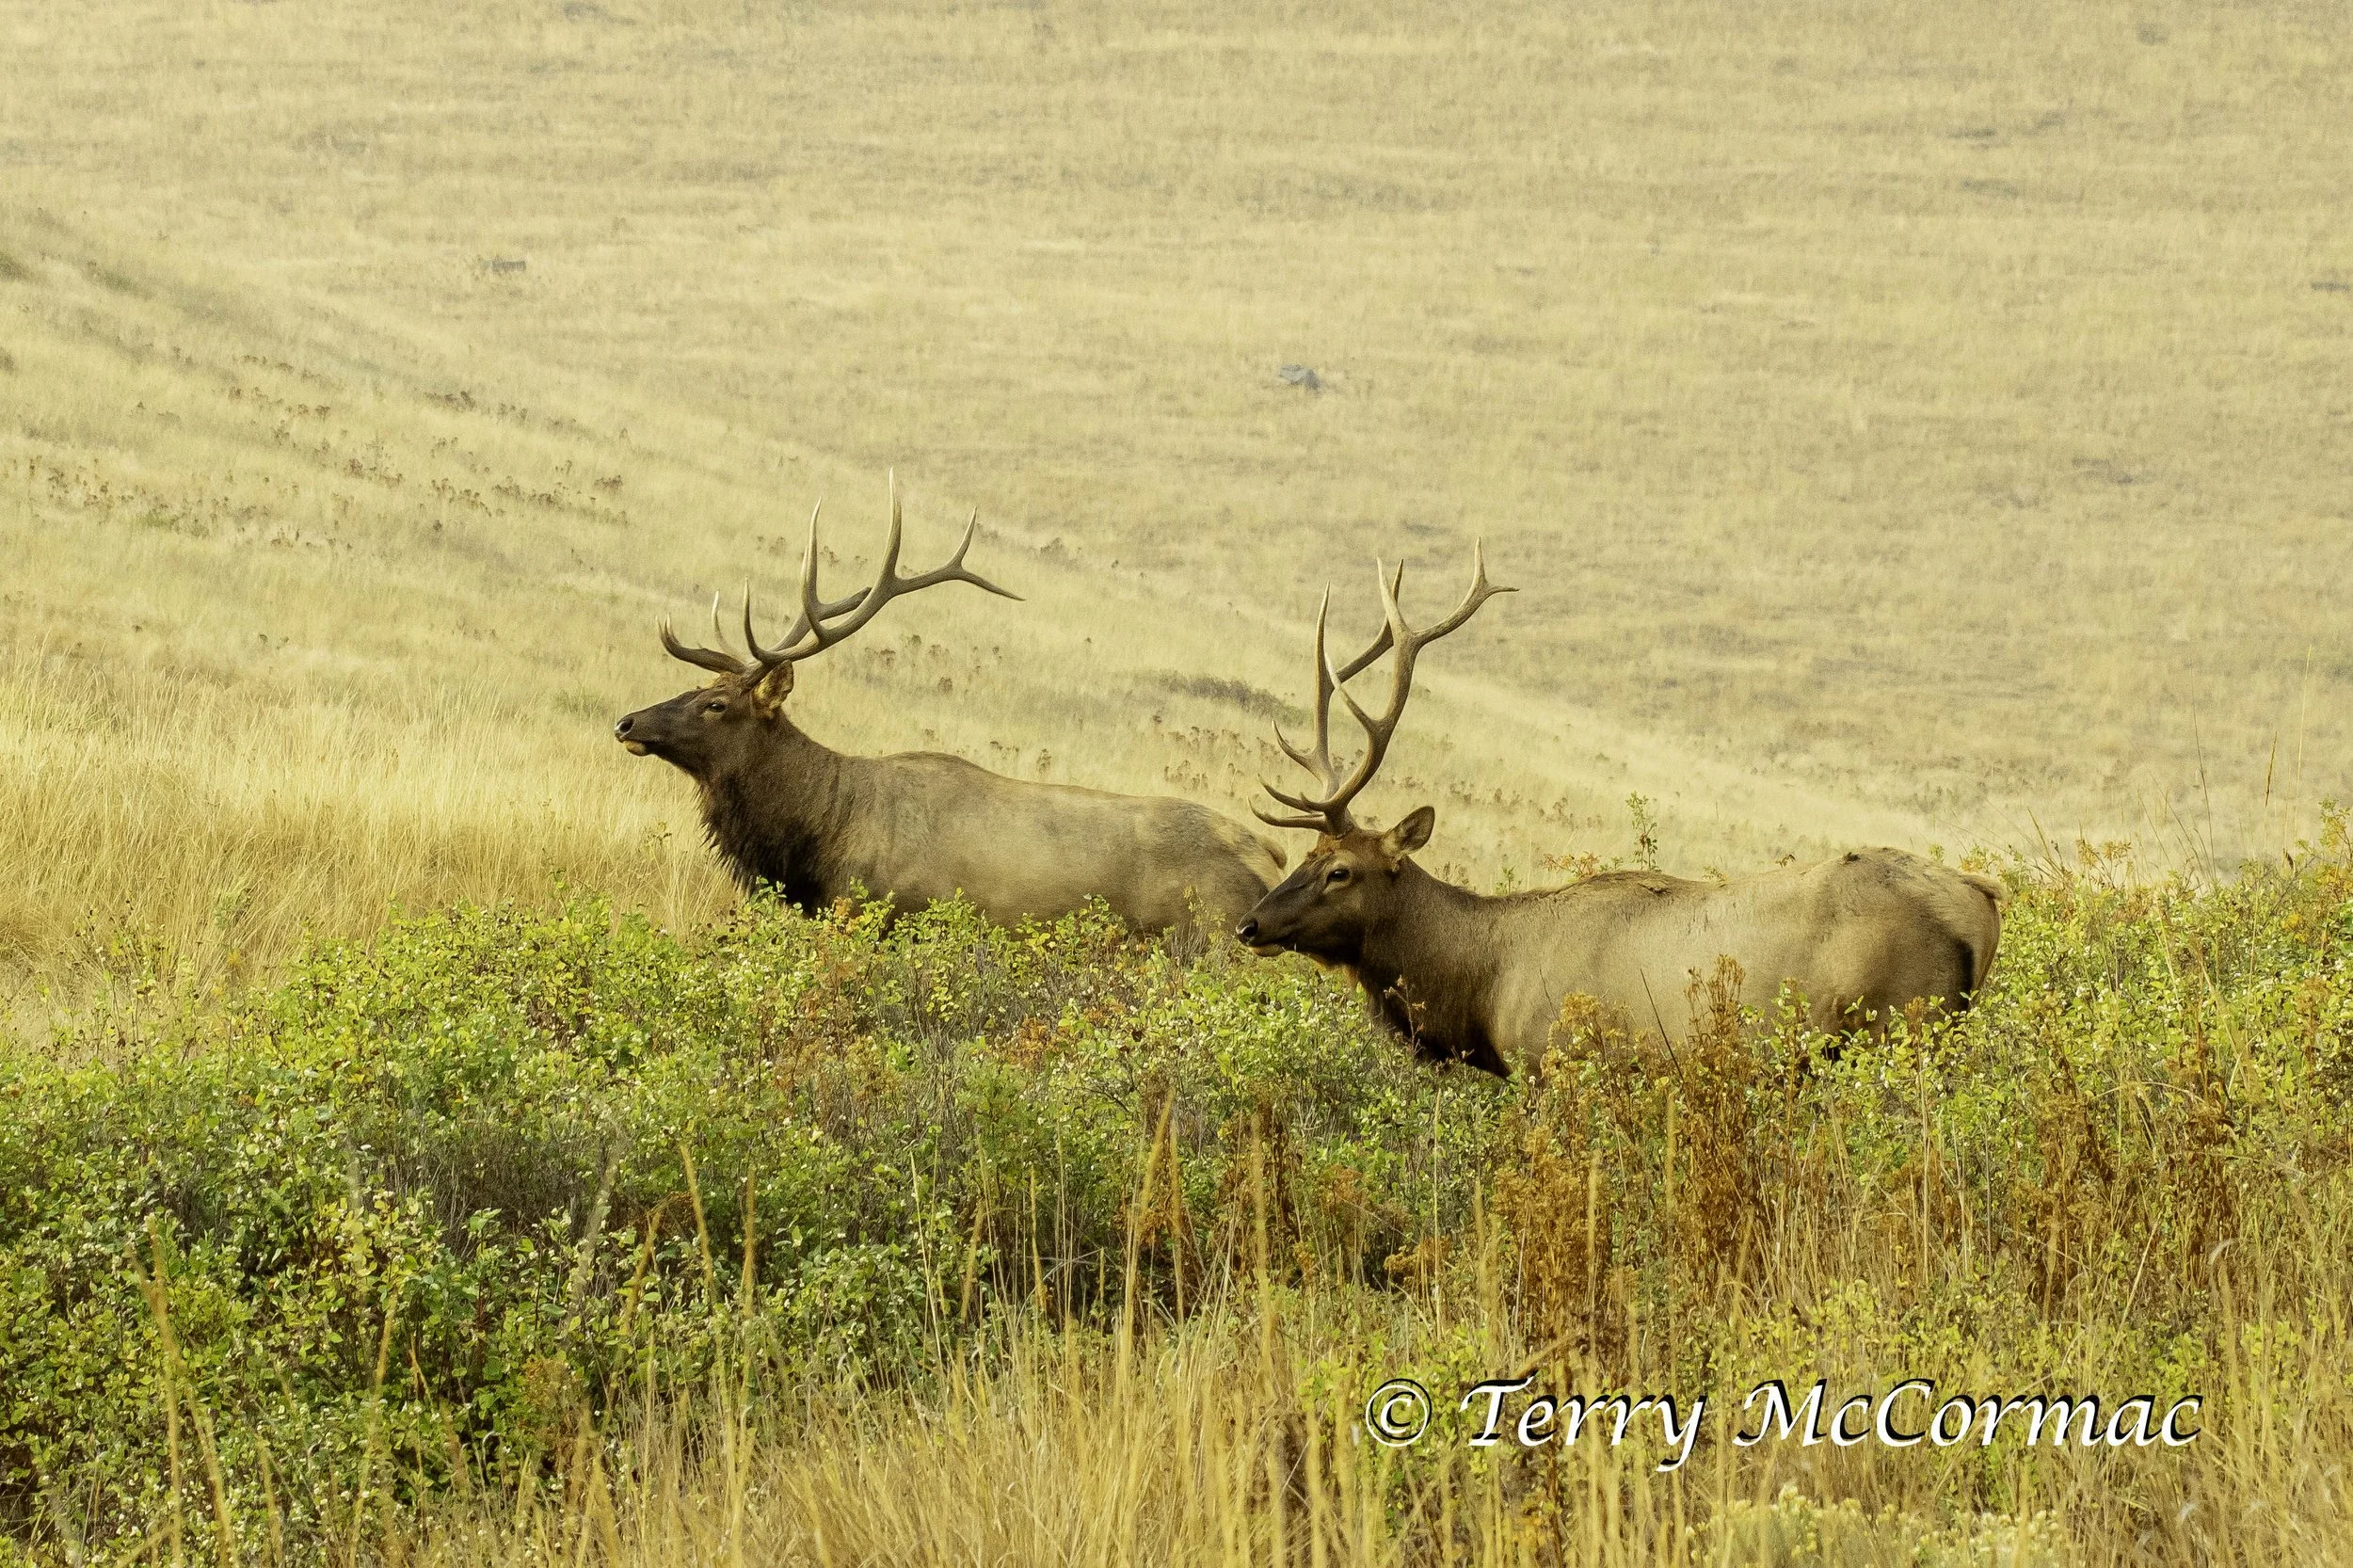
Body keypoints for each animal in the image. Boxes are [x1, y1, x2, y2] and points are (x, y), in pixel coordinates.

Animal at [614, 486, 1285, 940]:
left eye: (715, 703)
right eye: (698, 685)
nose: (627, 723)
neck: (820, 838)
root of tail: (1271, 854)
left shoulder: (892, 916)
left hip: (1211, 940)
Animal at [1233, 548, 2006, 1077]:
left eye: (1339, 870)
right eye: (1304, 857)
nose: (1249, 925)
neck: (1486, 987)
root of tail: (1981, 899)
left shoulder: (1558, 1062)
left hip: (1898, 1024)